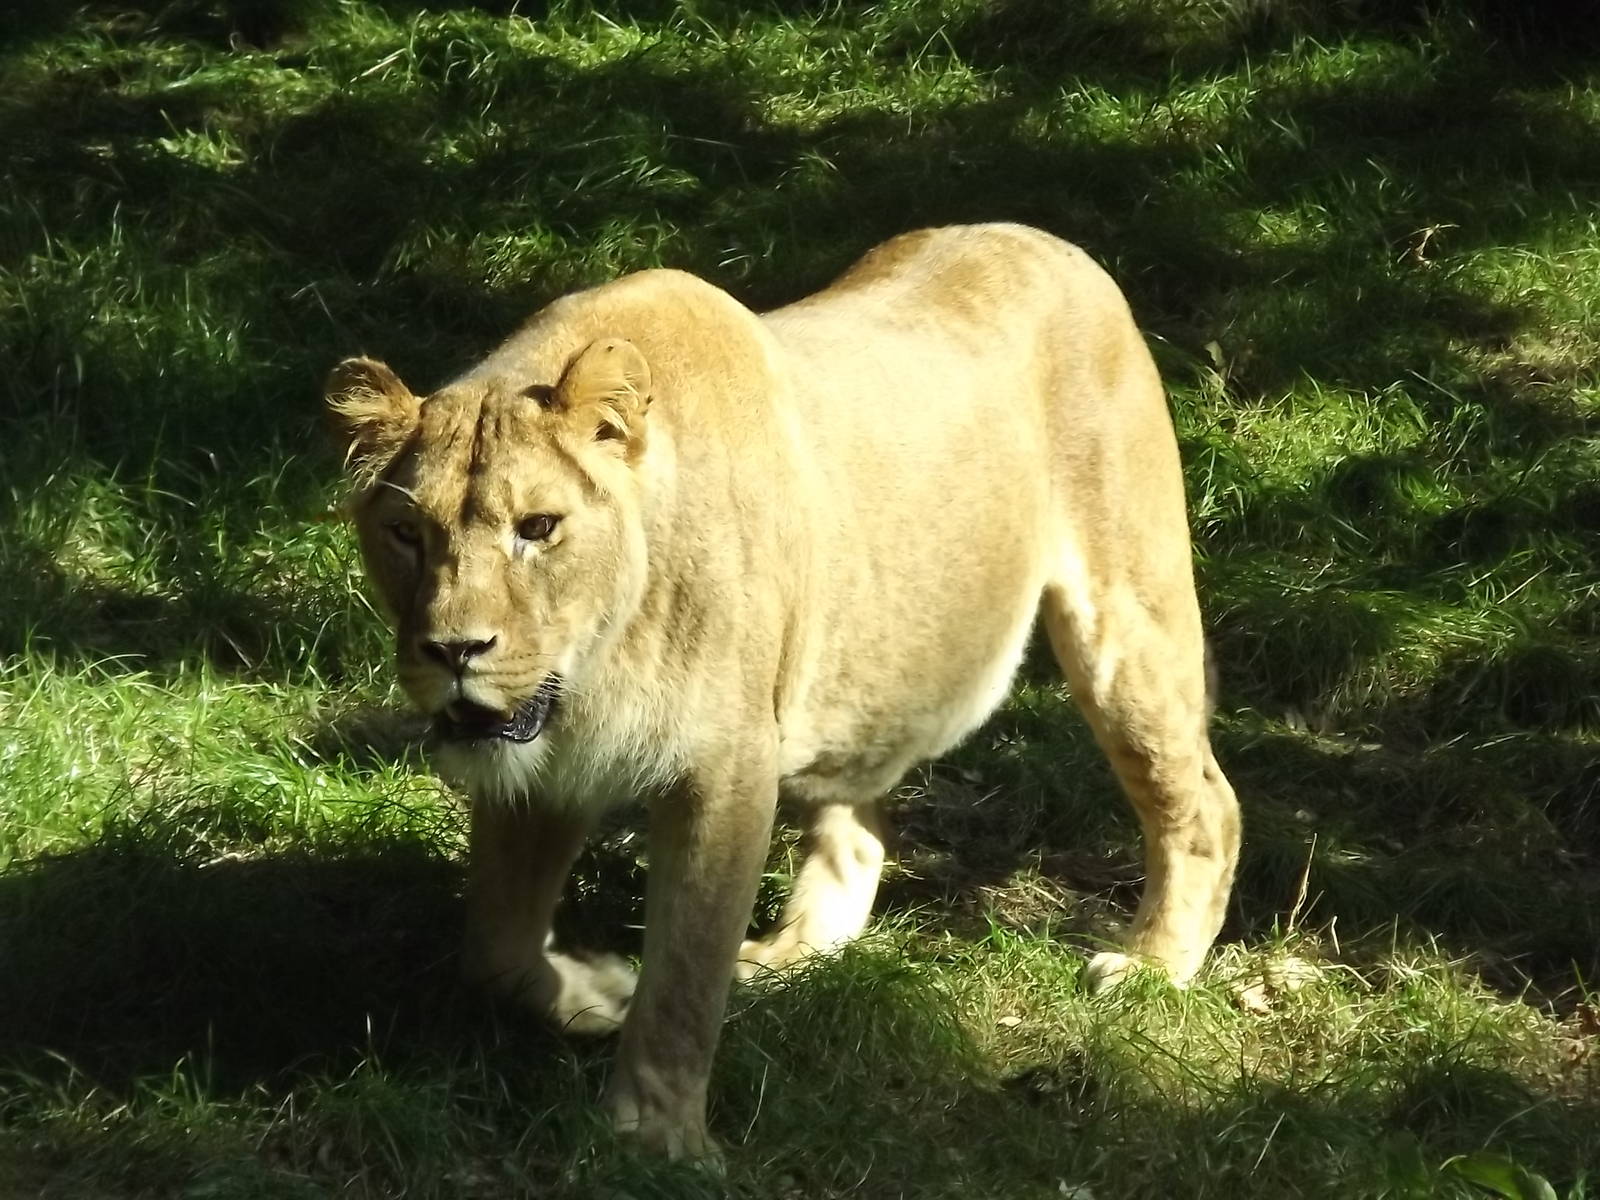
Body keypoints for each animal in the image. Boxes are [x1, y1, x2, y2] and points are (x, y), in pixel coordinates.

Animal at [325, 223, 1241, 1160]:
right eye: (406, 532)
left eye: (538, 528)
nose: (453, 649)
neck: (594, 665)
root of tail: (1048, 240)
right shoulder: (543, 770)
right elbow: (496, 946)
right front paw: (594, 998)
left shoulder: (724, 767)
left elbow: (685, 972)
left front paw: (658, 1138)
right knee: (861, 828)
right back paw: (792, 954)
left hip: (1124, 623)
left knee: (1204, 799)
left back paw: (1154, 968)